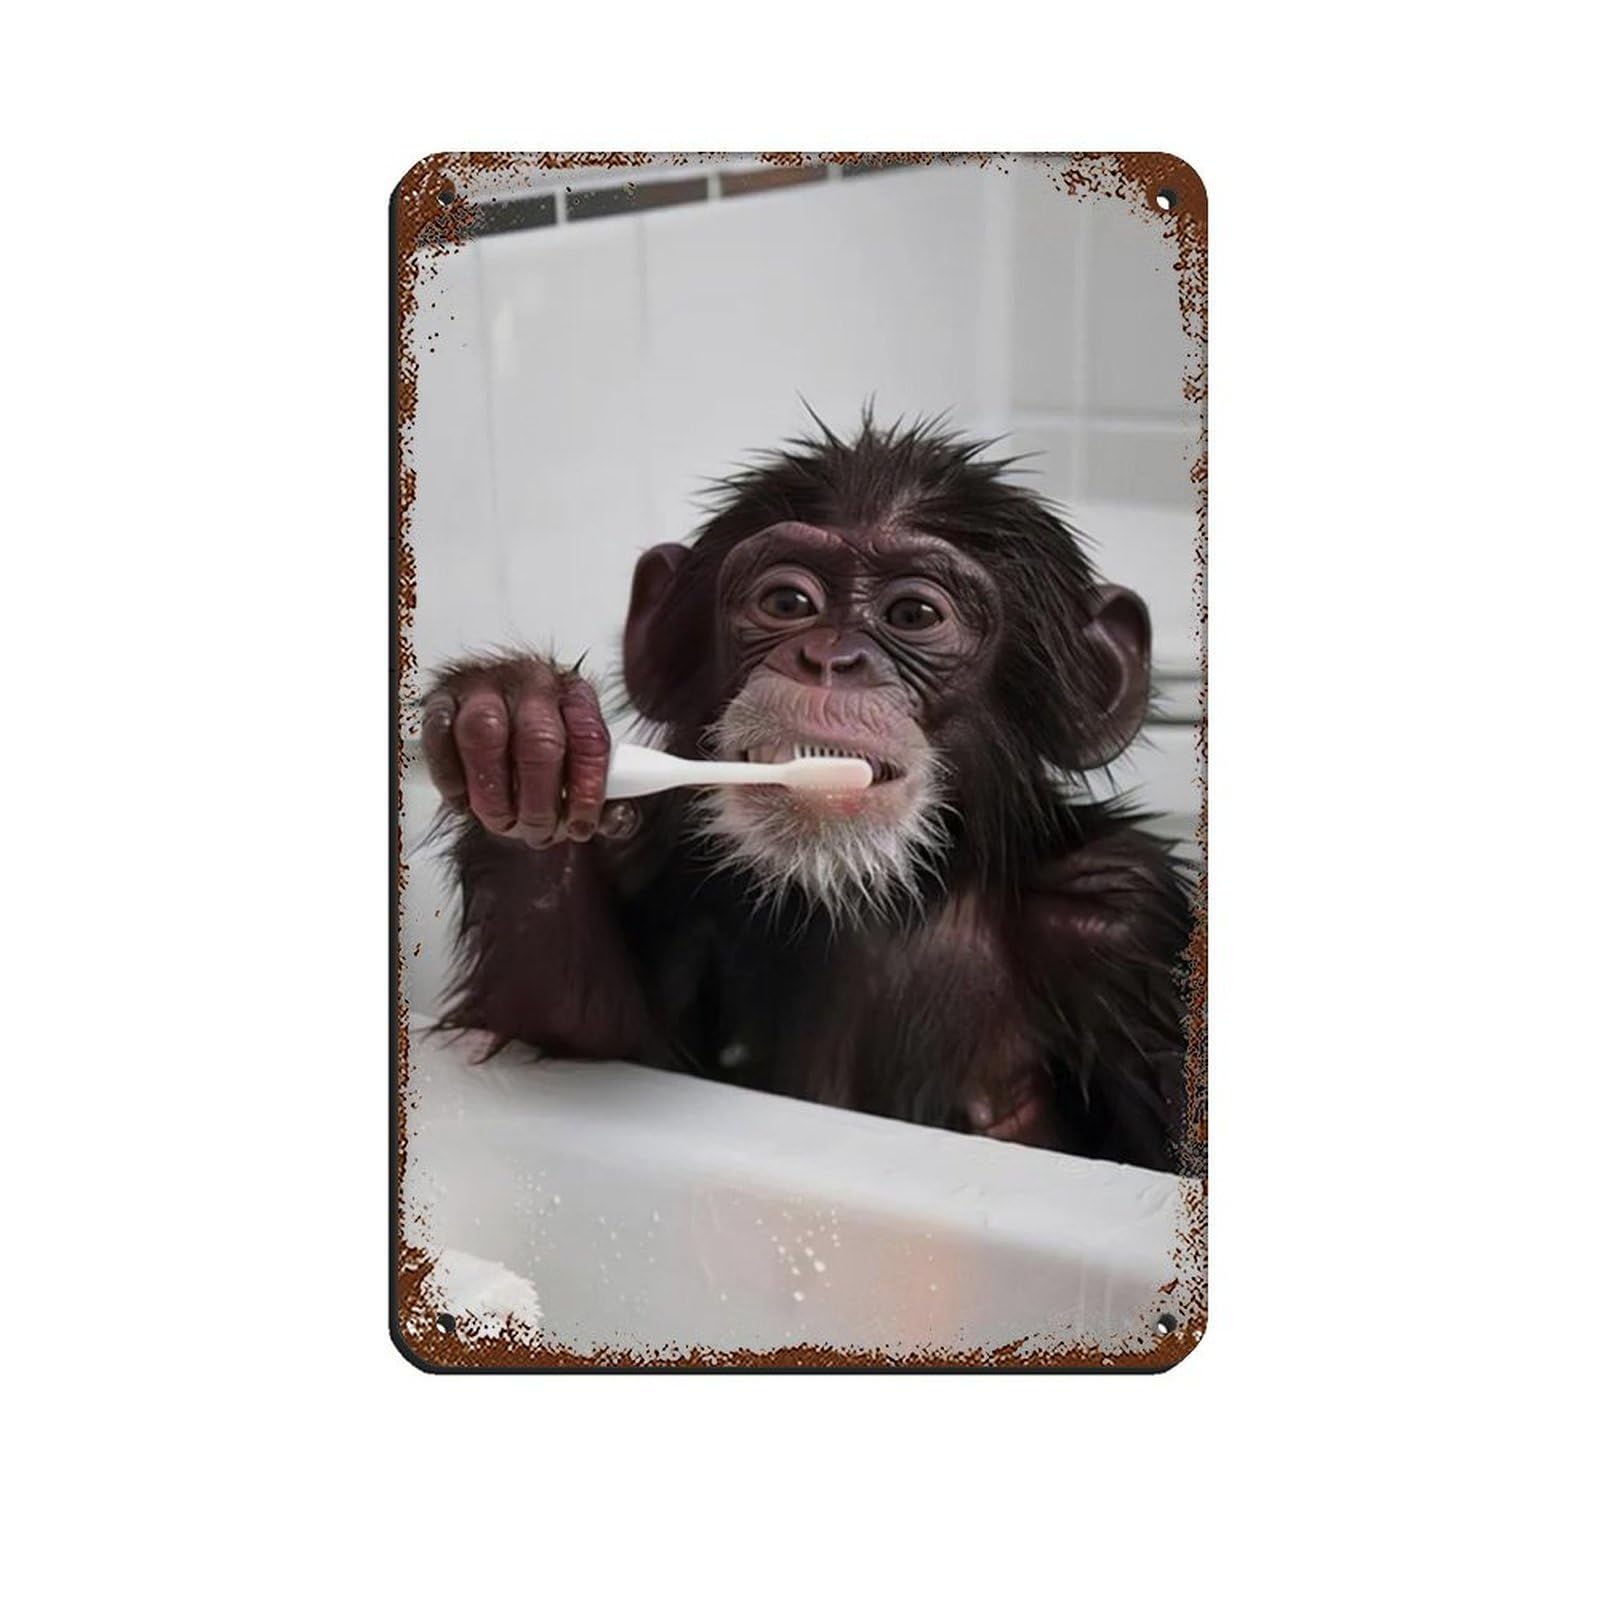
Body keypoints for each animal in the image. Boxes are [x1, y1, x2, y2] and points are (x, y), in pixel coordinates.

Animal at [419, 415, 1196, 1171]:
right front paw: (522, 731)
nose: (830, 658)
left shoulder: (1126, 923)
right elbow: (594, 1035)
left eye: (914, 615)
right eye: (788, 601)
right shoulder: (661, 868)